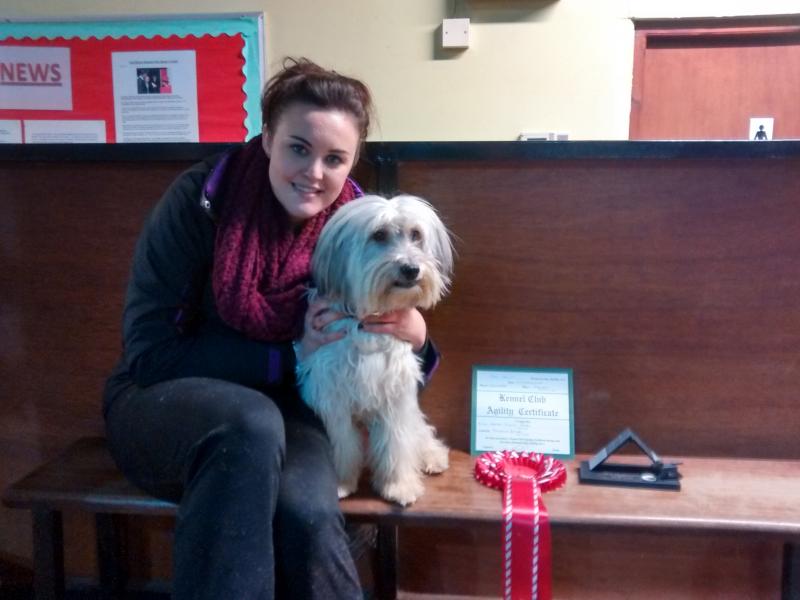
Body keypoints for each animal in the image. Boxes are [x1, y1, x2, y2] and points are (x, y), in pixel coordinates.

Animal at [296, 195, 454, 504]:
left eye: (416, 235)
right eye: (379, 235)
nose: (411, 269)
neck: (368, 319)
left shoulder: (395, 394)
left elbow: (396, 443)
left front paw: (399, 485)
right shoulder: (333, 397)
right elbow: (342, 443)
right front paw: (341, 482)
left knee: (419, 432)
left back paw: (432, 457)